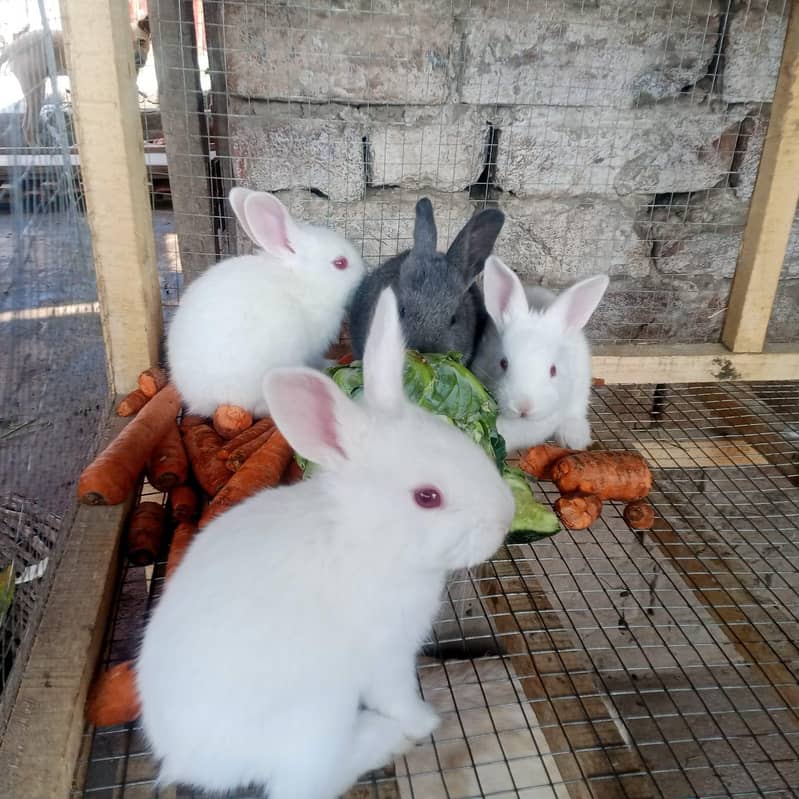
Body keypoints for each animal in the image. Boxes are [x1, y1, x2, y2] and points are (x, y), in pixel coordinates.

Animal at [137, 287, 515, 799]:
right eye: (427, 497)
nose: (505, 518)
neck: (366, 538)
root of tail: (187, 762)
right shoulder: (387, 658)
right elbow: (400, 699)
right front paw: (426, 722)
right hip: (318, 721)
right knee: (305, 782)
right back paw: (385, 738)